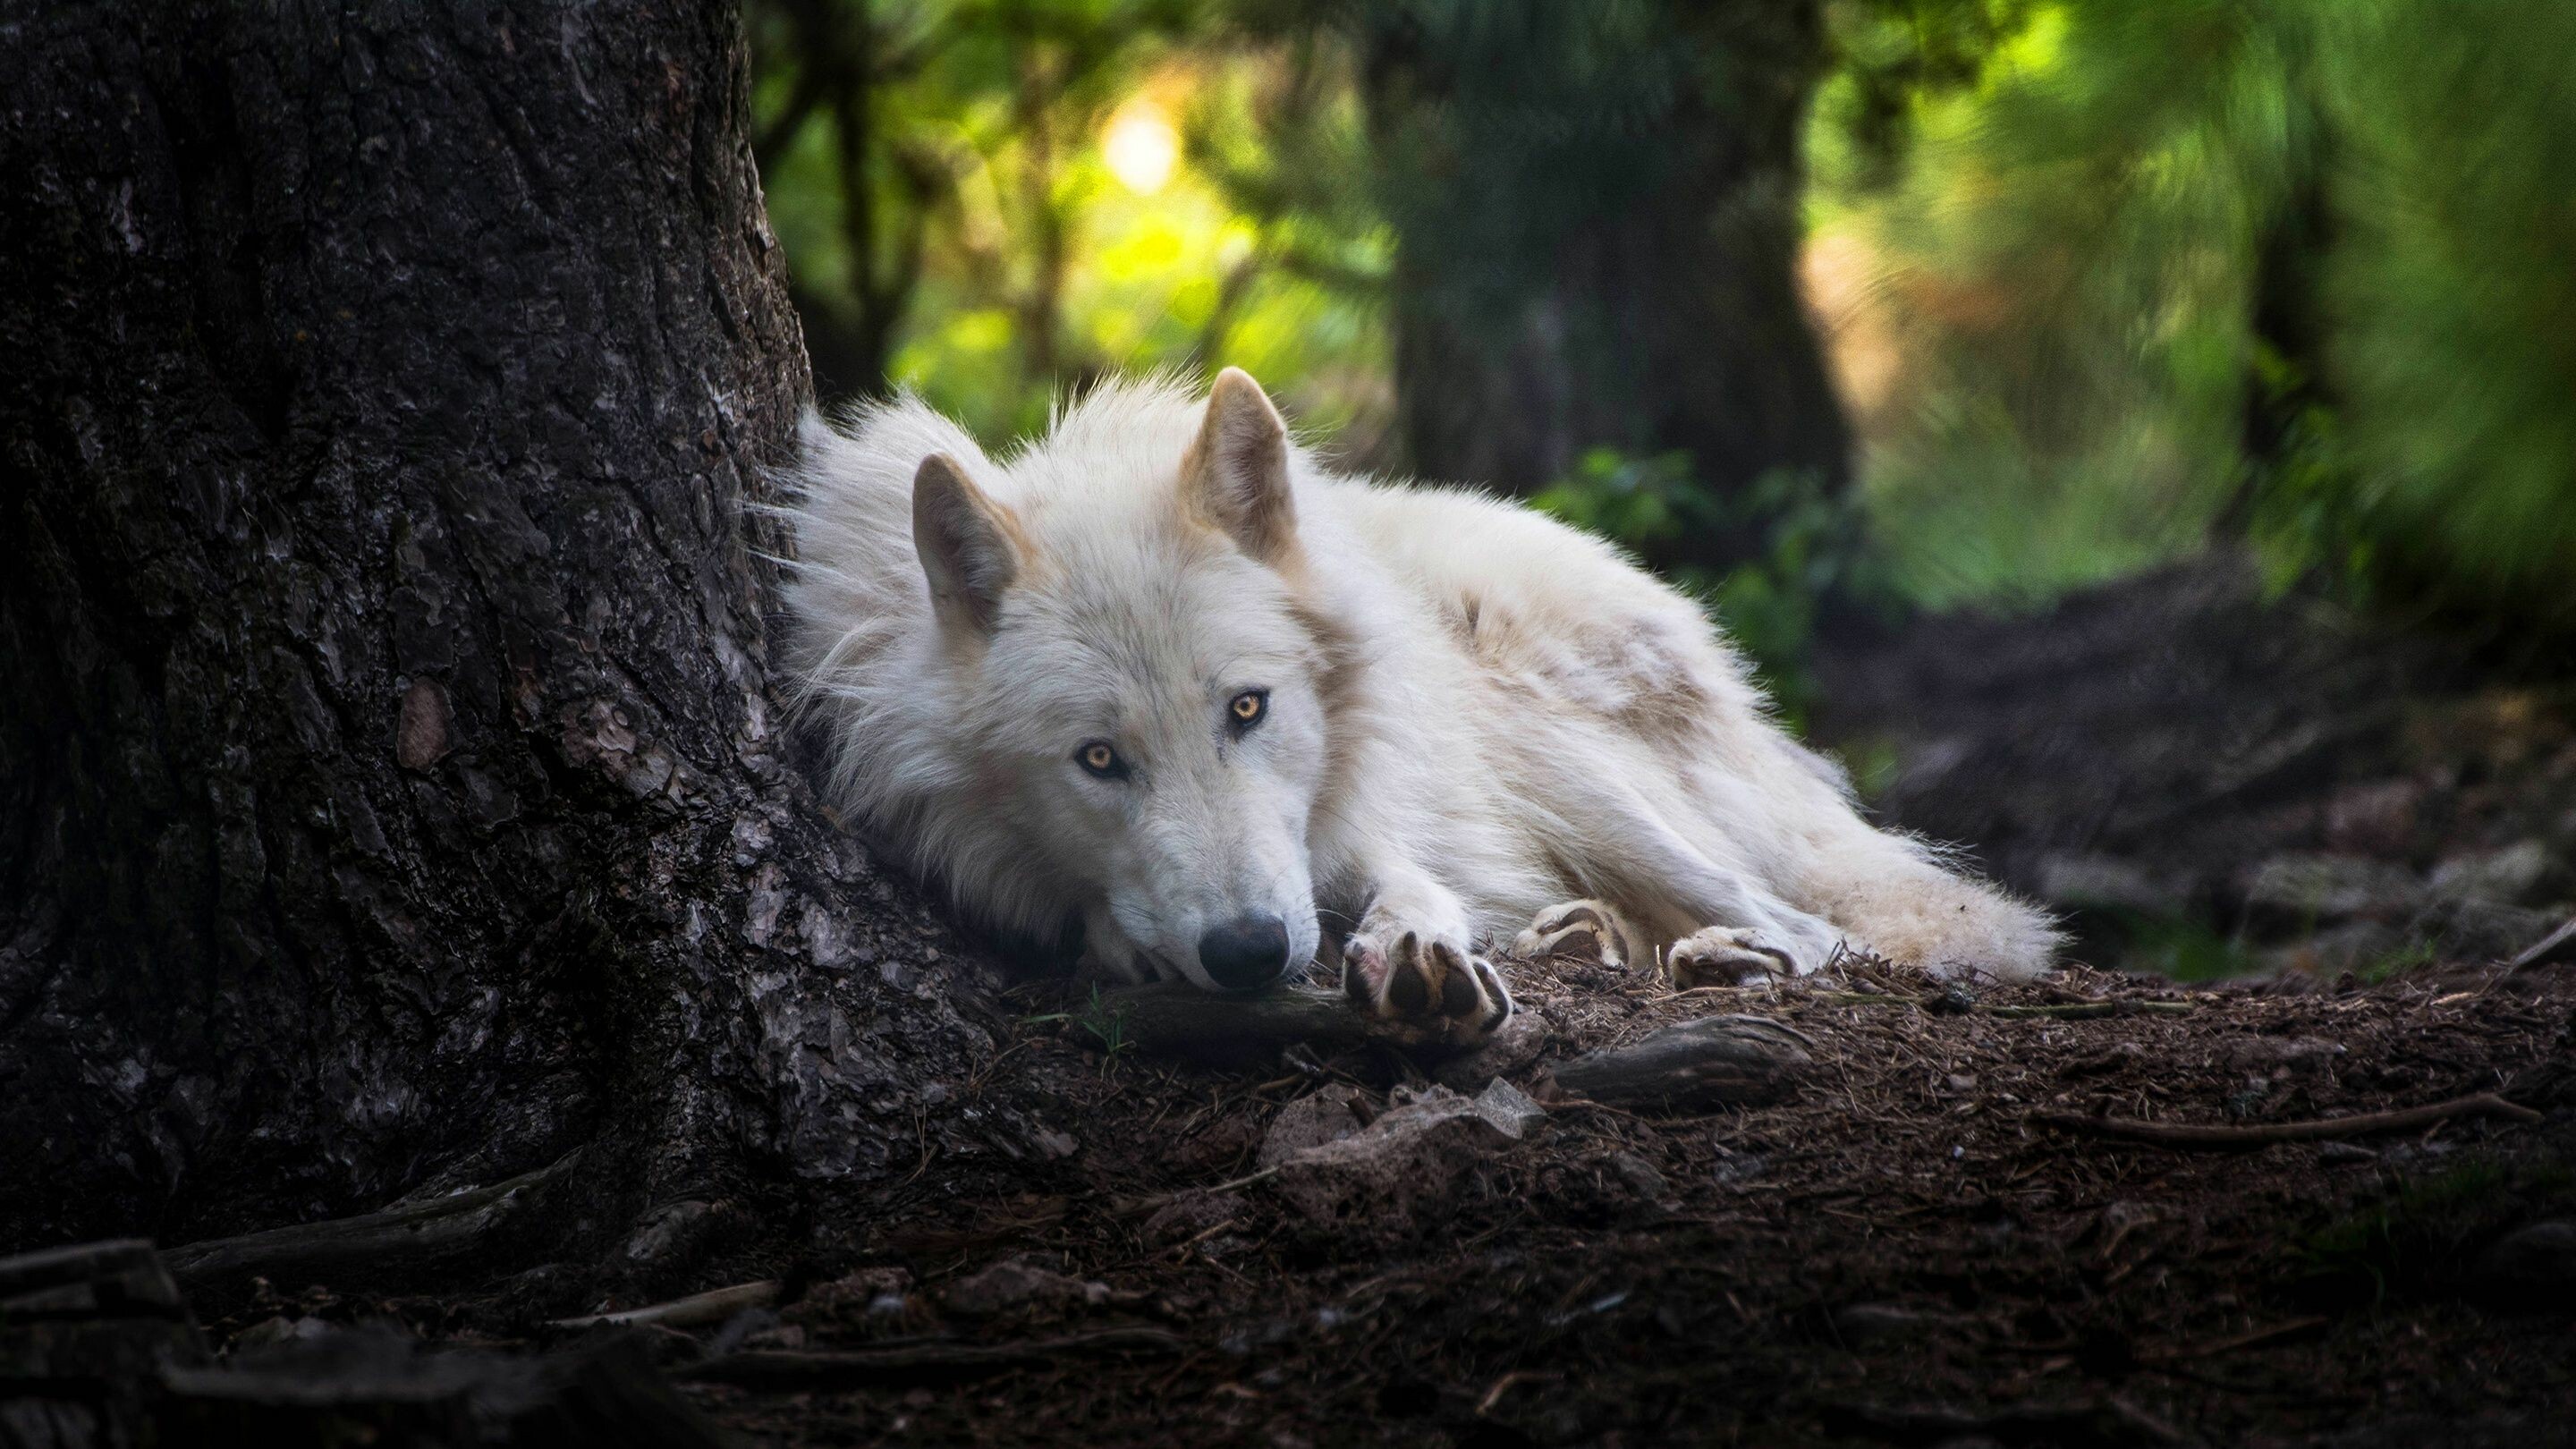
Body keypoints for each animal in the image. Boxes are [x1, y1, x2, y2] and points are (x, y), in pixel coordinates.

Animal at [773, 366, 2061, 1031]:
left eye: (1249, 709)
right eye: (1098, 760)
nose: (1249, 953)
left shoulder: (1379, 815)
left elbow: (1406, 883)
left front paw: (1415, 955)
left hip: (1561, 762)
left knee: (1818, 928)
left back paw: (1716, 959)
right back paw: (1586, 936)